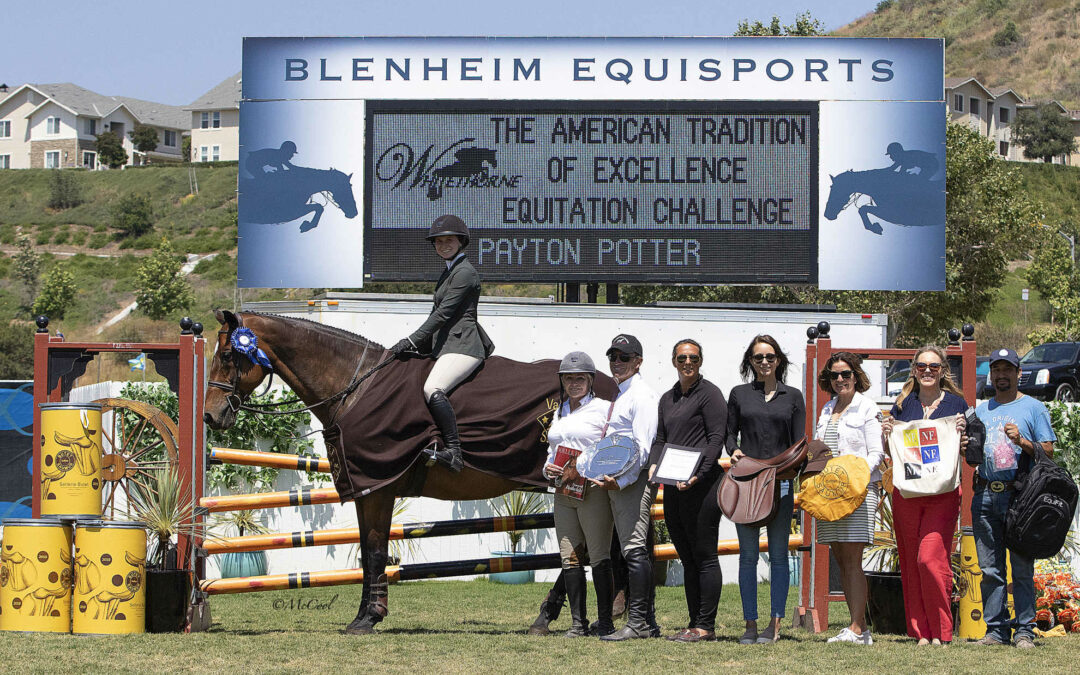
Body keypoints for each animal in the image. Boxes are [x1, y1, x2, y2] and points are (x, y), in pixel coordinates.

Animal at [203, 308, 552, 630]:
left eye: (226, 355)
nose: (209, 416)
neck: (356, 388)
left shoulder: (379, 489)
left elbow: (374, 552)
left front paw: (370, 617)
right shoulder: (365, 490)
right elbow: (368, 554)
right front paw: (363, 616)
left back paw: (548, 617)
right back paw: (547, 618)